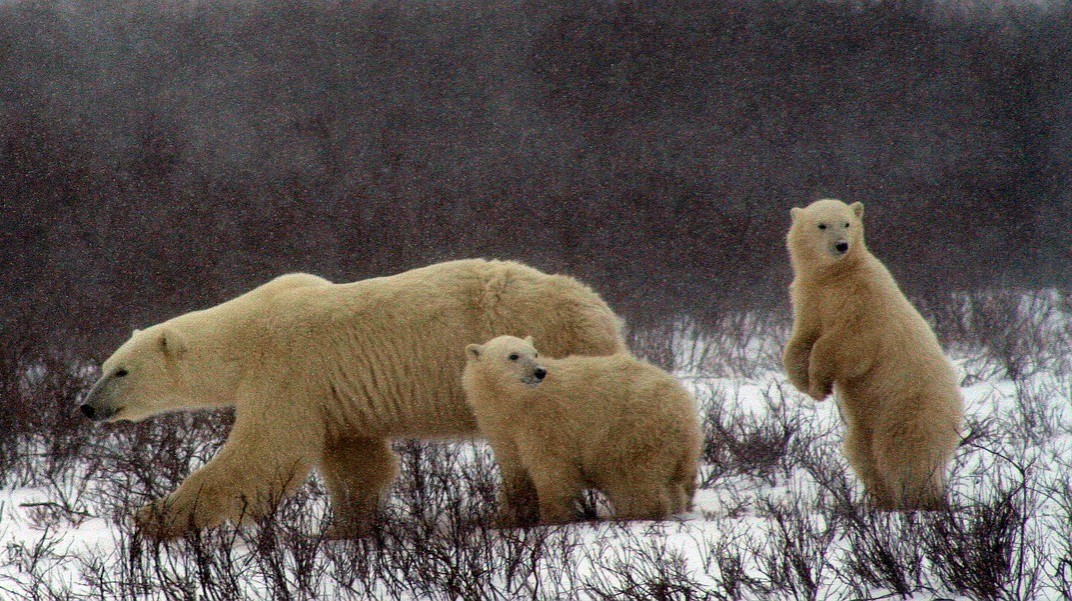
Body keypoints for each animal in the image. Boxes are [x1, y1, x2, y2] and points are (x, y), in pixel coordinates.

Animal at [79, 254, 626, 535]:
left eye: (121, 370)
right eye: (103, 367)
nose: (86, 406)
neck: (247, 332)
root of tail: (597, 308)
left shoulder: (288, 367)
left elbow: (265, 453)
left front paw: (154, 518)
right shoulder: (333, 393)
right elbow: (356, 461)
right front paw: (347, 527)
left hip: (544, 351)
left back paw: (504, 517)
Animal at [463, 334, 703, 522]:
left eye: (535, 353)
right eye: (513, 355)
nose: (539, 372)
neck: (517, 401)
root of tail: (685, 403)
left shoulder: (545, 420)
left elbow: (551, 465)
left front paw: (552, 516)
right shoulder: (501, 425)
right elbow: (513, 466)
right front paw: (508, 515)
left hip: (633, 428)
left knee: (632, 476)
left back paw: (637, 513)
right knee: (668, 482)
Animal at [784, 199, 969, 507]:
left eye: (846, 222)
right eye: (822, 225)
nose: (841, 245)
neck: (835, 276)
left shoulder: (864, 299)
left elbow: (847, 343)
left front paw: (820, 384)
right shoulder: (810, 297)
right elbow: (801, 340)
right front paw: (804, 383)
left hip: (908, 405)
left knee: (904, 452)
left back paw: (920, 501)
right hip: (865, 422)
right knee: (862, 452)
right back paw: (880, 502)